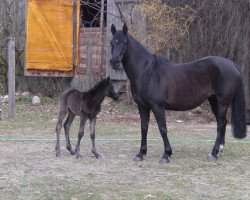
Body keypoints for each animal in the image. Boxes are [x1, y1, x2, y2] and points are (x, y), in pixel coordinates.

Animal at [110, 24, 246, 163]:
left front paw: (166, 155)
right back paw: (219, 151)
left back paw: (214, 153)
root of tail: (232, 64)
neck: (147, 72)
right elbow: (144, 128)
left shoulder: (157, 106)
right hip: (214, 102)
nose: (114, 62)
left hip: (223, 103)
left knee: (221, 124)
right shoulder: (142, 106)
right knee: (221, 123)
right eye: (112, 42)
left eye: (124, 43)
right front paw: (140, 154)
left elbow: (163, 129)